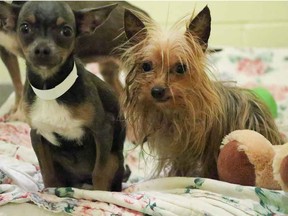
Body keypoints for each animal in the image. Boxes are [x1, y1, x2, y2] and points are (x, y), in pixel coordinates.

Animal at [1, 1, 125, 191]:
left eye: (66, 31)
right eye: (24, 28)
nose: (42, 49)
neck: (50, 89)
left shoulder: (103, 130)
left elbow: (100, 172)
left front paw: (100, 194)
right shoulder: (37, 135)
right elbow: (47, 172)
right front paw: (50, 191)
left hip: (115, 158)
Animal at [121, 6, 284, 179]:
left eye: (181, 68)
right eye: (146, 66)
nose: (157, 91)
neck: (172, 111)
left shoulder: (205, 150)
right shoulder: (179, 152)